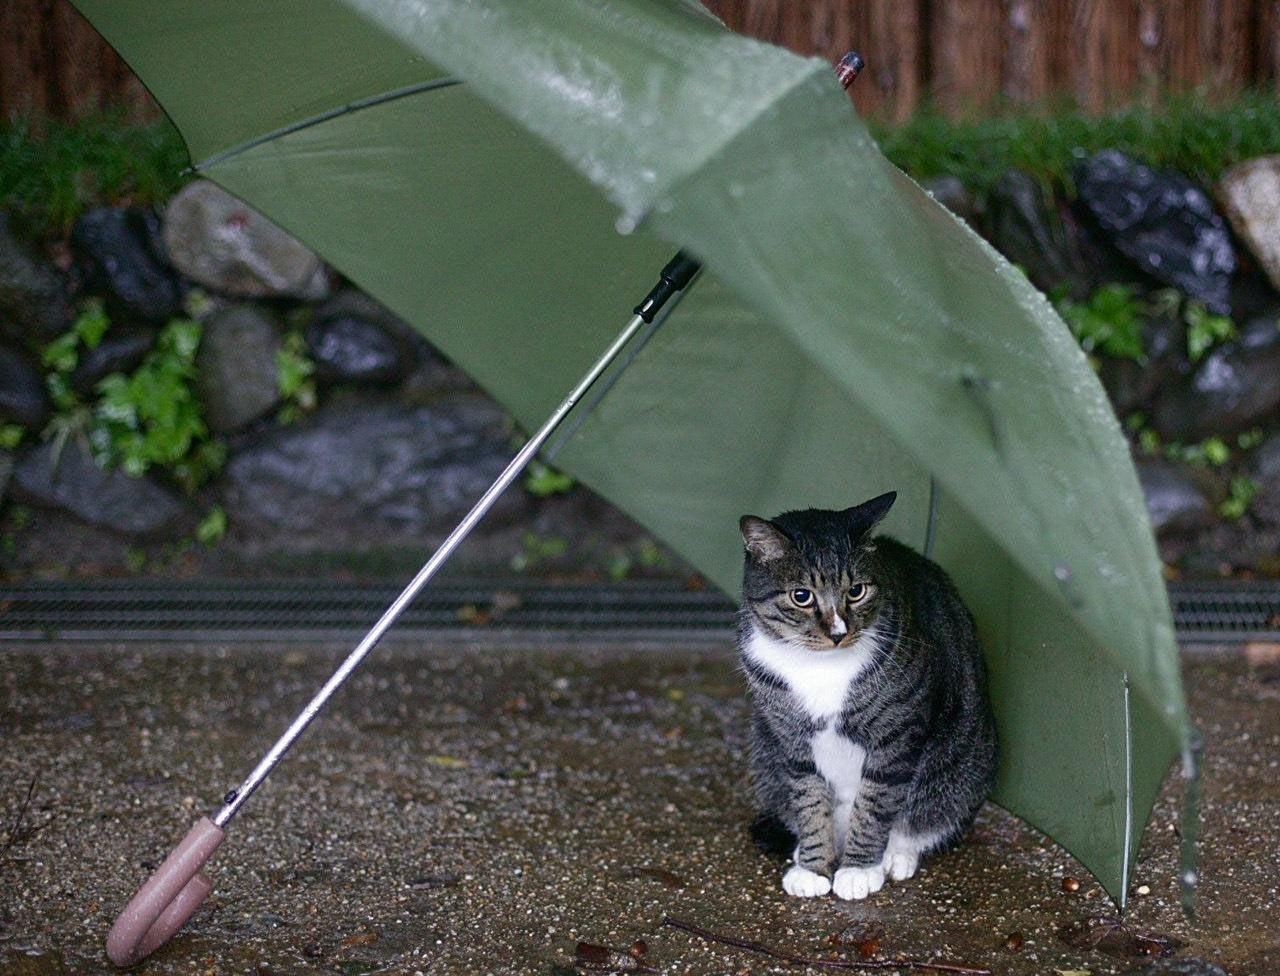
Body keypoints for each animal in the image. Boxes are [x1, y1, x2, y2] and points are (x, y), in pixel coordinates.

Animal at [737, 489, 993, 901]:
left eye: (856, 591)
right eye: (801, 596)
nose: (839, 633)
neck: (819, 666)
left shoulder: (897, 734)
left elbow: (875, 803)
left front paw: (858, 870)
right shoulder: (790, 739)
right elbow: (809, 800)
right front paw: (813, 868)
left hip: (960, 768)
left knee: (926, 815)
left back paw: (896, 855)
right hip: (765, 752)